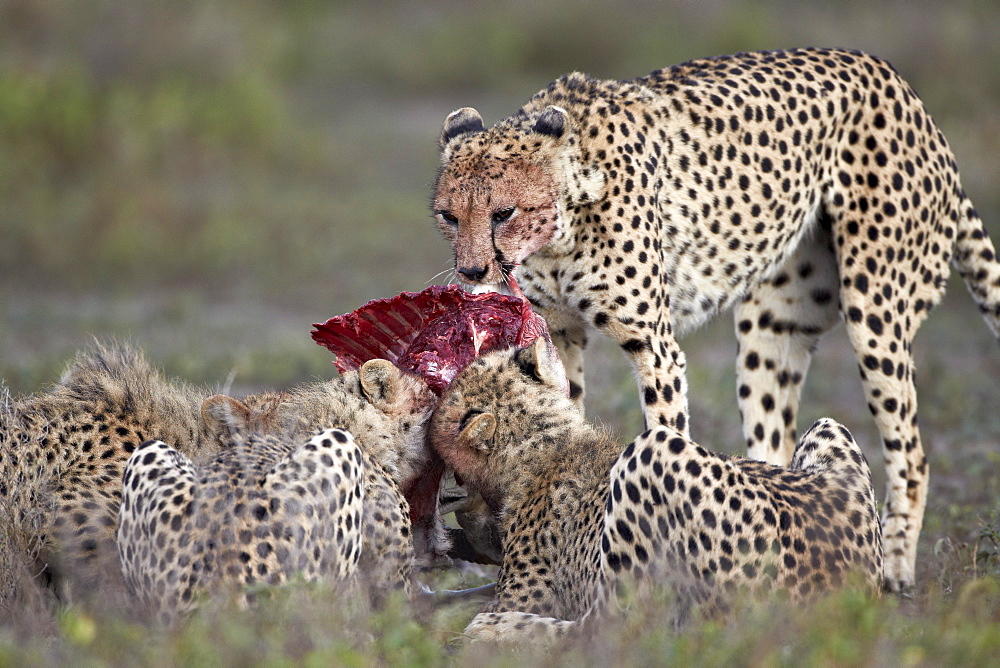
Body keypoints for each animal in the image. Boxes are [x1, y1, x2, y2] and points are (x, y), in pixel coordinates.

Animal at [432, 47, 1000, 588]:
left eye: (504, 213)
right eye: (448, 215)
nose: (472, 269)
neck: (560, 225)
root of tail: (893, 80)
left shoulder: (655, 347)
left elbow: (662, 433)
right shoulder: (559, 334)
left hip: (875, 309)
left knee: (911, 455)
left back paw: (896, 571)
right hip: (771, 326)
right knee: (775, 445)